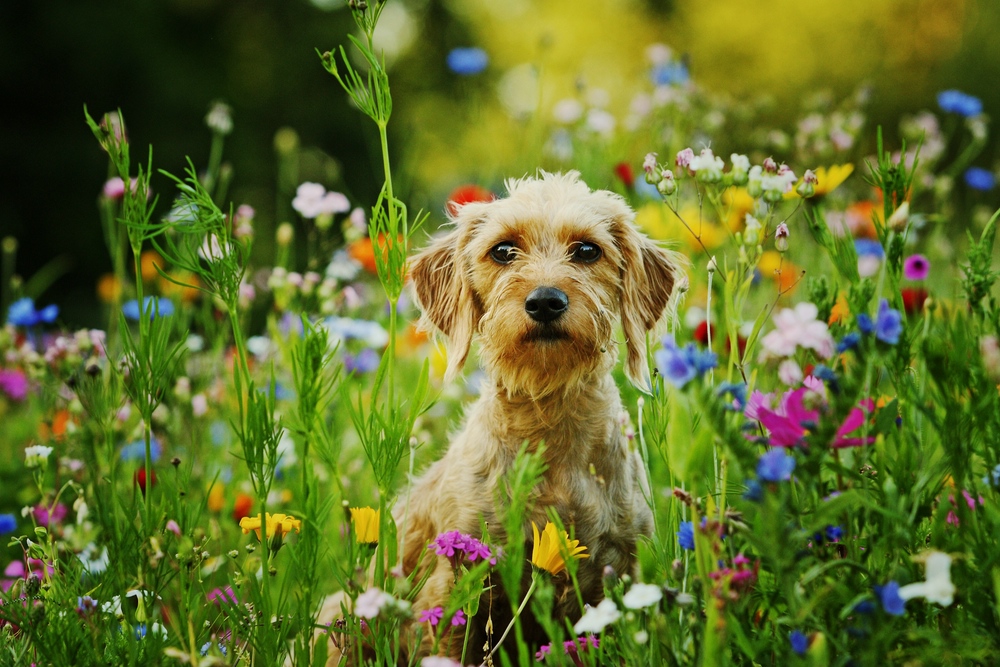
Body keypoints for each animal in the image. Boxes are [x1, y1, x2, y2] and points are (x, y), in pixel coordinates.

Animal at [320, 171, 680, 664]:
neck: (548, 432)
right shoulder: (455, 588)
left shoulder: (616, 575)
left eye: (588, 250)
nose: (545, 301)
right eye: (503, 250)